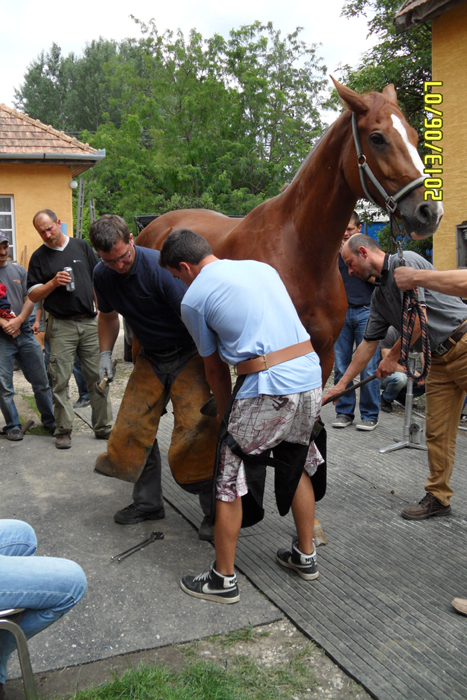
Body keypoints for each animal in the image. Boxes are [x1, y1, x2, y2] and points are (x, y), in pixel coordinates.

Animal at [136, 78, 443, 384]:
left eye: (415, 136)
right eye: (377, 138)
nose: (430, 211)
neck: (301, 255)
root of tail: (152, 226)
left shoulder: (324, 354)